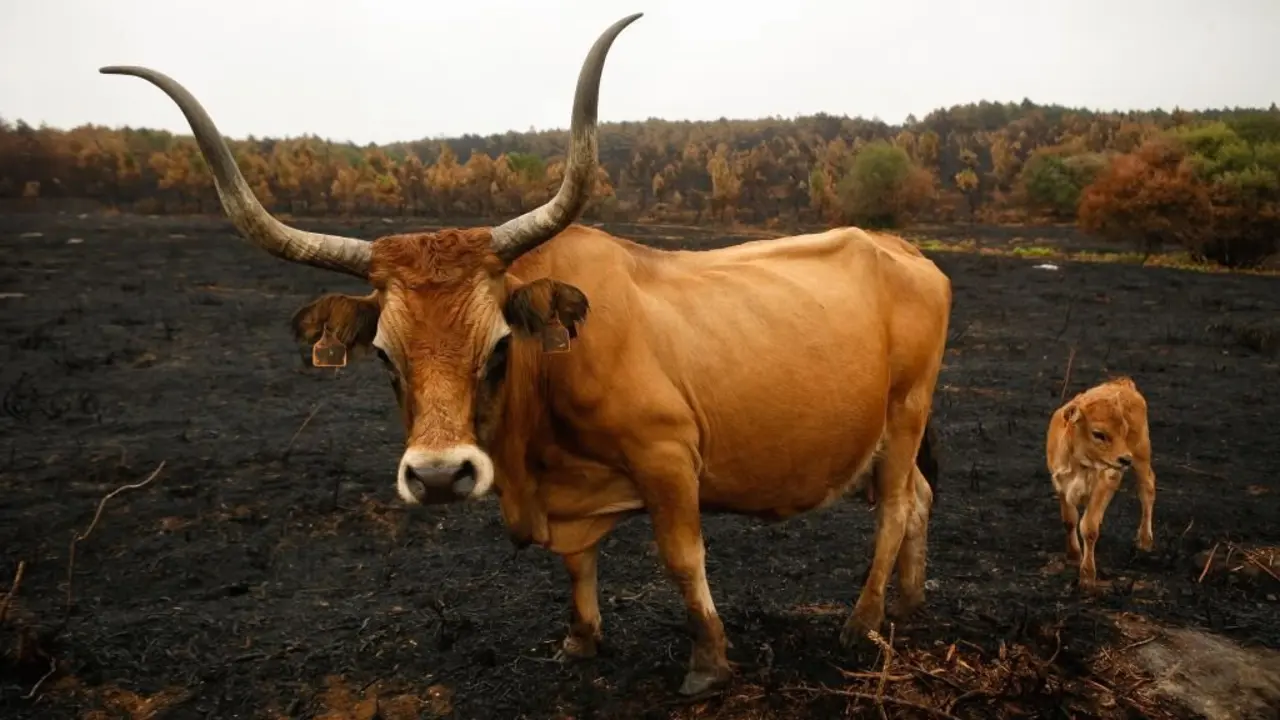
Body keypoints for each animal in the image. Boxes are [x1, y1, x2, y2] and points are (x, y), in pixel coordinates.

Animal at [100, 12, 952, 696]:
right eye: (384, 357)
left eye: (500, 346)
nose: (439, 476)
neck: (535, 444)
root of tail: (901, 248)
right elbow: (575, 566)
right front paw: (581, 640)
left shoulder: (669, 456)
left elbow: (683, 558)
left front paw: (709, 664)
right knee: (916, 496)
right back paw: (910, 605)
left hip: (906, 408)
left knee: (894, 505)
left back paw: (862, 621)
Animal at [1046, 376, 1157, 591]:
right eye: (1098, 434)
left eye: (1124, 430)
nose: (1125, 459)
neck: (1080, 463)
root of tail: (1122, 383)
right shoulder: (1061, 485)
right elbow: (1069, 520)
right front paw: (1073, 555)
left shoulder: (1104, 483)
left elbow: (1088, 528)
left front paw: (1087, 576)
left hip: (1142, 455)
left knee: (1147, 489)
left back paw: (1145, 540)